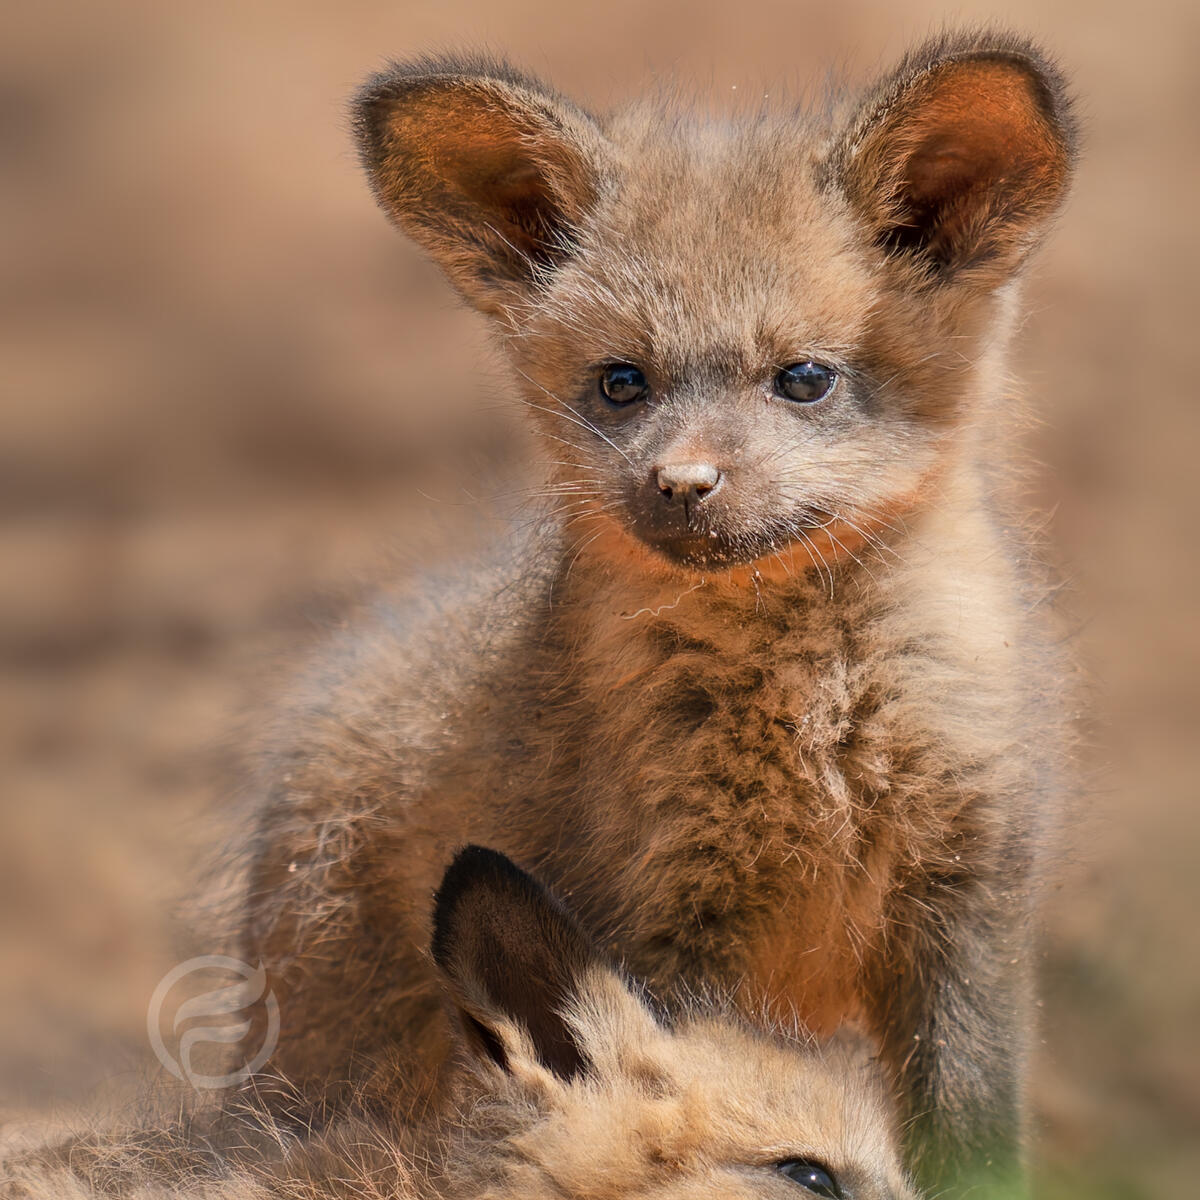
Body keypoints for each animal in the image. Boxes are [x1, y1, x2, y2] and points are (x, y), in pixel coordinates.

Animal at [234, 27, 1078, 1198]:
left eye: (803, 379)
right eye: (621, 382)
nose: (680, 485)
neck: (818, 729)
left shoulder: (970, 889)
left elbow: (971, 1136)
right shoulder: (659, 915)